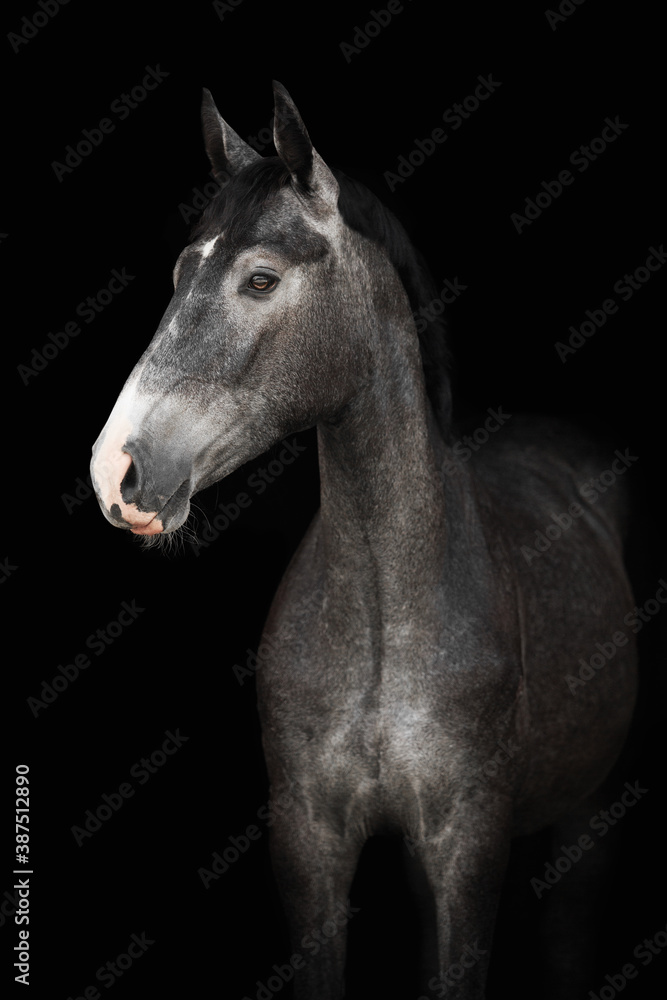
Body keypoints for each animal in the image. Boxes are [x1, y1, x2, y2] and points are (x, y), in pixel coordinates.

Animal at [90, 81, 638, 998]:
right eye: (178, 274)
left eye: (261, 278)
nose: (116, 473)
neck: (387, 612)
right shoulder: (308, 843)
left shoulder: (467, 850)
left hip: (590, 814)